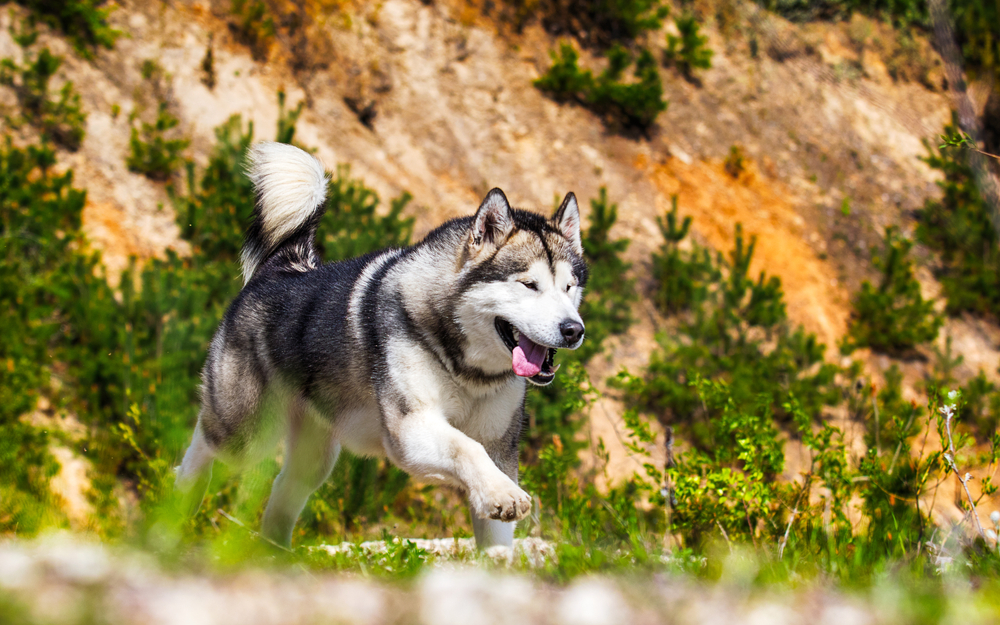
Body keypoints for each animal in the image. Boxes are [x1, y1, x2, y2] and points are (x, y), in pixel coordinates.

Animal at [176, 141, 584, 544]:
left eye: (569, 286)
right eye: (529, 285)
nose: (574, 330)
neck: (468, 371)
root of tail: (282, 266)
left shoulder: (499, 449)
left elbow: (496, 535)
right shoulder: (411, 431)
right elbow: (466, 447)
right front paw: (503, 494)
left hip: (314, 456)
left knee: (282, 493)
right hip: (244, 432)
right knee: (203, 443)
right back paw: (177, 507)